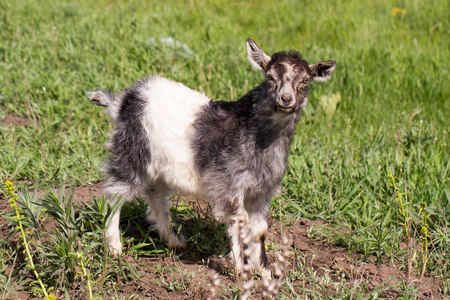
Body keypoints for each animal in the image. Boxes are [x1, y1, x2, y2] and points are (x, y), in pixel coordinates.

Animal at [88, 38, 336, 276]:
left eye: (305, 81)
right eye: (270, 77)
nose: (286, 99)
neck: (257, 135)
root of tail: (123, 101)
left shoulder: (261, 191)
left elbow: (259, 230)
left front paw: (263, 270)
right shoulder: (230, 185)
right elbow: (239, 221)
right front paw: (240, 268)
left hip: (161, 167)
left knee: (156, 196)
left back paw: (174, 240)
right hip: (131, 152)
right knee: (115, 194)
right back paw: (114, 248)